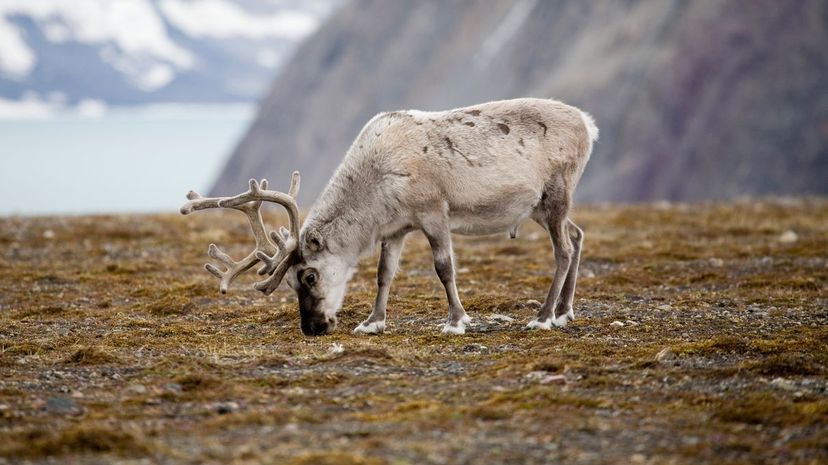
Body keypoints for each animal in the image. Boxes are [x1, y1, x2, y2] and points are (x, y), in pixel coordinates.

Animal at [181, 98, 598, 336]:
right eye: (289, 283)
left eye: (309, 276)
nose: (312, 329)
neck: (374, 181)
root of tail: (588, 124)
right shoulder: (395, 229)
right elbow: (384, 274)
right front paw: (372, 322)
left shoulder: (433, 212)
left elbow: (444, 268)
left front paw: (456, 321)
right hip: (539, 207)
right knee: (578, 236)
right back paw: (565, 311)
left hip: (556, 193)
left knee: (562, 249)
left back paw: (543, 316)